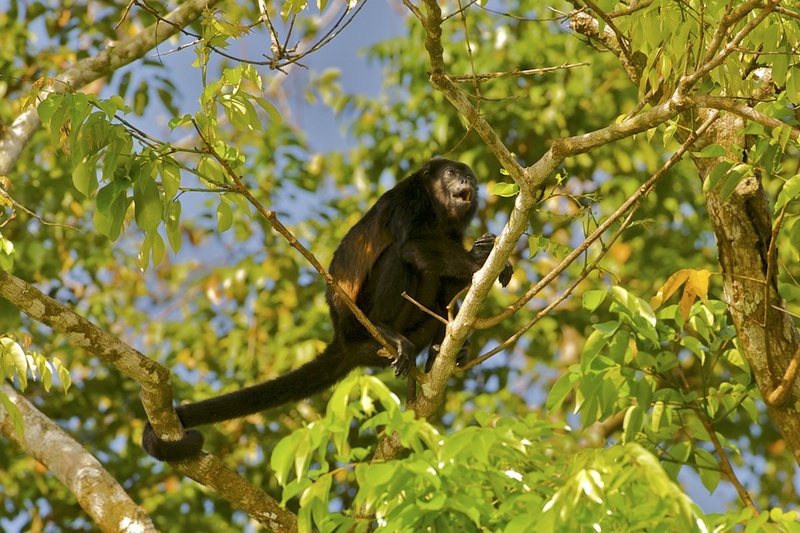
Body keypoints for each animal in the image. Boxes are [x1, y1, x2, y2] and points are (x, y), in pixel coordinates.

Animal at [143, 159, 512, 462]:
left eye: (469, 176)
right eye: (451, 172)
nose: (466, 180)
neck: (437, 209)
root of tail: (343, 337)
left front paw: (483, 255)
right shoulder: (408, 200)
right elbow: (412, 246)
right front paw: (479, 259)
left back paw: (441, 350)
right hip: (360, 321)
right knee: (399, 256)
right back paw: (388, 332)